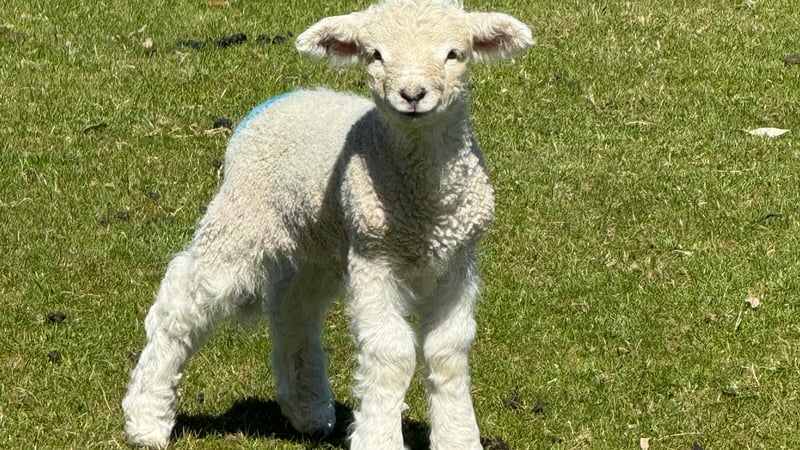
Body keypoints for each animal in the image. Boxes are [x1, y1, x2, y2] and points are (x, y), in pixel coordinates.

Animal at [121, 0, 533, 448]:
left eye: (454, 54)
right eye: (376, 55)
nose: (412, 96)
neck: (424, 209)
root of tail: (285, 99)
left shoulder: (457, 261)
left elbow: (448, 351)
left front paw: (458, 437)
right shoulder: (375, 257)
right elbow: (391, 352)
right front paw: (379, 438)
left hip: (318, 243)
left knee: (293, 310)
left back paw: (308, 409)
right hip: (243, 216)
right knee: (181, 303)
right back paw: (147, 418)